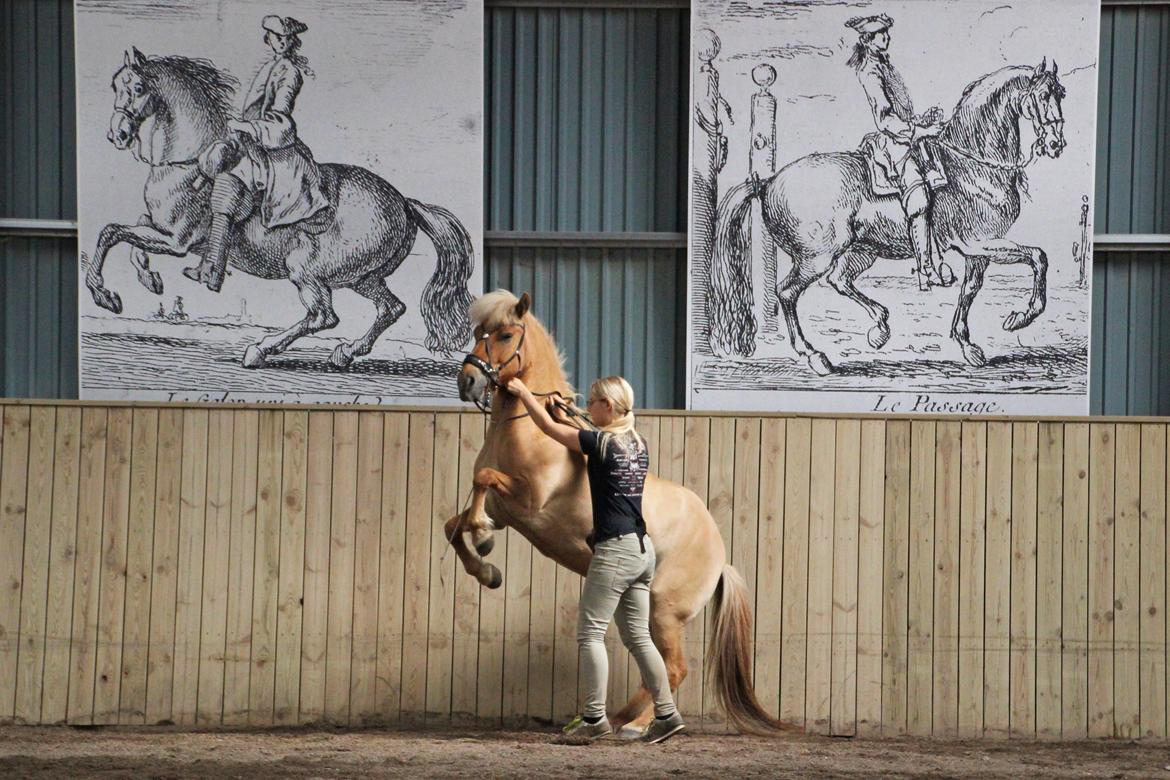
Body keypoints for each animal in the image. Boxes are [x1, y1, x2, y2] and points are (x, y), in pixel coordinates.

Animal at [85, 47, 475, 367]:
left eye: (137, 87)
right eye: (115, 84)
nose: (117, 135)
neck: (188, 160)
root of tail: (405, 204)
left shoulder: (177, 241)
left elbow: (111, 232)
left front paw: (105, 295)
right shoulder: (156, 226)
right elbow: (125, 236)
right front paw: (147, 279)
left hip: (307, 271)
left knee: (324, 316)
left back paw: (260, 349)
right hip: (363, 277)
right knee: (390, 308)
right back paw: (346, 352)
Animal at [451, 290, 790, 734]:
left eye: (506, 334)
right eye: (478, 333)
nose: (467, 382)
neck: (532, 434)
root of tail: (720, 560)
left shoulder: (527, 502)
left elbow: (483, 479)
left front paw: (484, 540)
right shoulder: (505, 511)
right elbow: (454, 525)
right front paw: (485, 568)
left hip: (664, 613)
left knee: (674, 667)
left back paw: (637, 725)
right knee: (656, 668)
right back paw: (619, 717)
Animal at [702, 59, 1071, 371]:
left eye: (1061, 94)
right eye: (1042, 95)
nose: (1056, 144)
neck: (971, 163)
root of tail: (768, 181)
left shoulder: (977, 250)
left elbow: (971, 289)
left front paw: (967, 345)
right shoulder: (980, 242)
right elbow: (1038, 257)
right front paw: (1020, 317)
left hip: (861, 252)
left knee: (839, 280)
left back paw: (879, 326)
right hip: (815, 258)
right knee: (788, 292)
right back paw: (815, 356)